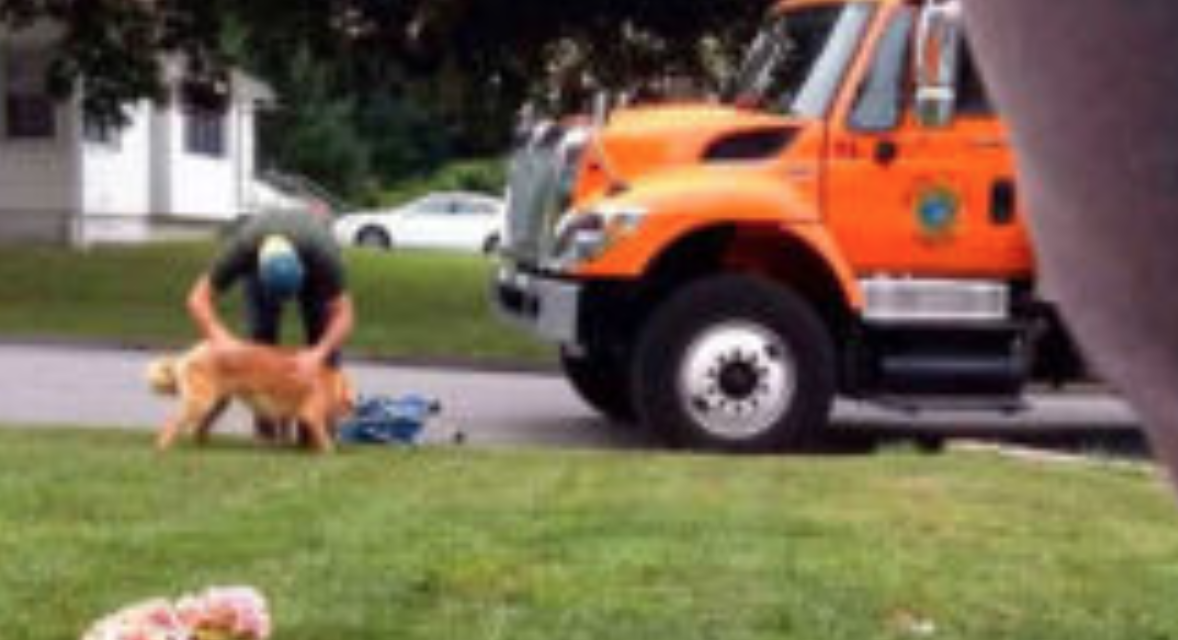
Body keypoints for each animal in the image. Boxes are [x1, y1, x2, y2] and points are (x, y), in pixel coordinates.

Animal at [146, 344, 351, 452]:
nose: (353, 409)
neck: (330, 380)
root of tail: (190, 353)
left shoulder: (287, 413)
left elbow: (285, 428)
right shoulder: (310, 414)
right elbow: (324, 439)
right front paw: (330, 451)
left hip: (217, 402)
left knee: (199, 428)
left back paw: (203, 445)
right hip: (202, 402)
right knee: (172, 425)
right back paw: (162, 448)